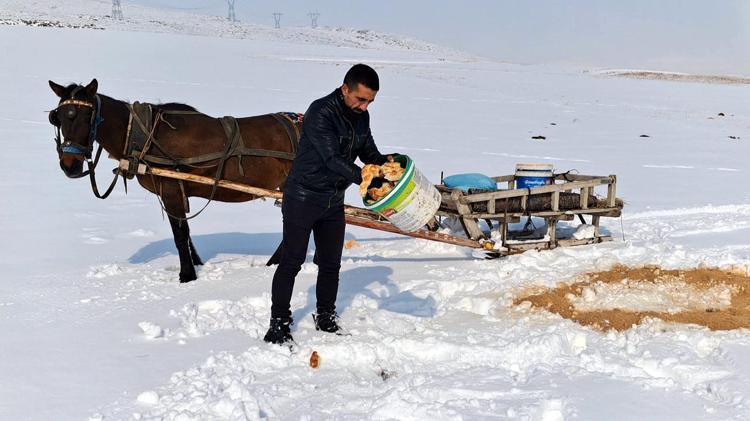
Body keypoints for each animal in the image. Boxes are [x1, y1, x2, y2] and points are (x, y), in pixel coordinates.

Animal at [48, 79, 301, 283]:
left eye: (86, 117)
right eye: (57, 118)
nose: (69, 165)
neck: (143, 136)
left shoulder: (170, 190)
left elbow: (179, 235)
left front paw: (187, 275)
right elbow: (186, 234)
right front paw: (196, 265)